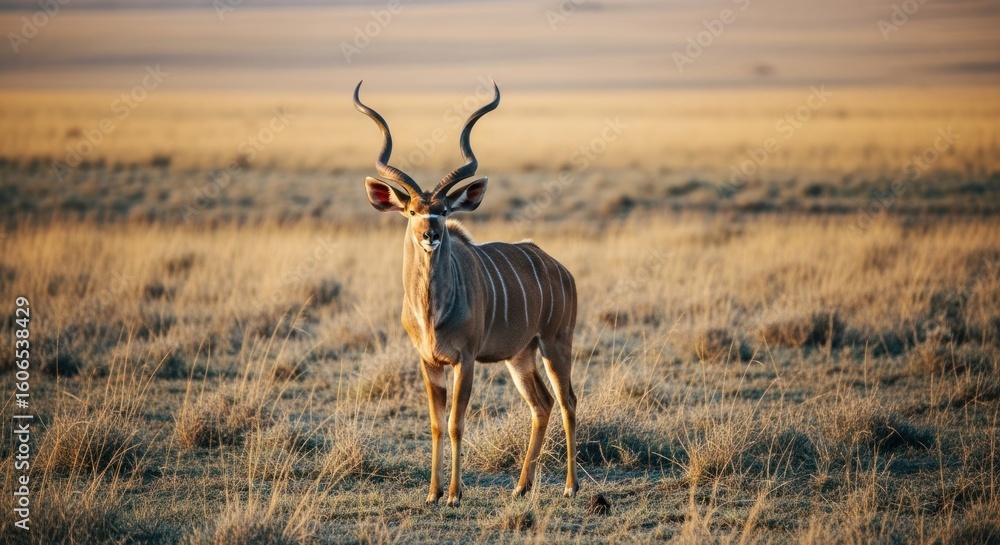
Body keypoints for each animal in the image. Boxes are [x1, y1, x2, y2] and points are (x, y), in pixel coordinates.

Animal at [354, 81, 579, 506]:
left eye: (443, 210)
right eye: (411, 211)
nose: (430, 235)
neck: (433, 313)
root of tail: (560, 269)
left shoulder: (466, 359)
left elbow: (457, 423)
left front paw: (455, 494)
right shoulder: (428, 361)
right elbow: (436, 424)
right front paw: (432, 493)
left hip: (555, 343)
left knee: (567, 401)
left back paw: (572, 486)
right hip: (520, 356)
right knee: (541, 405)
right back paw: (521, 486)